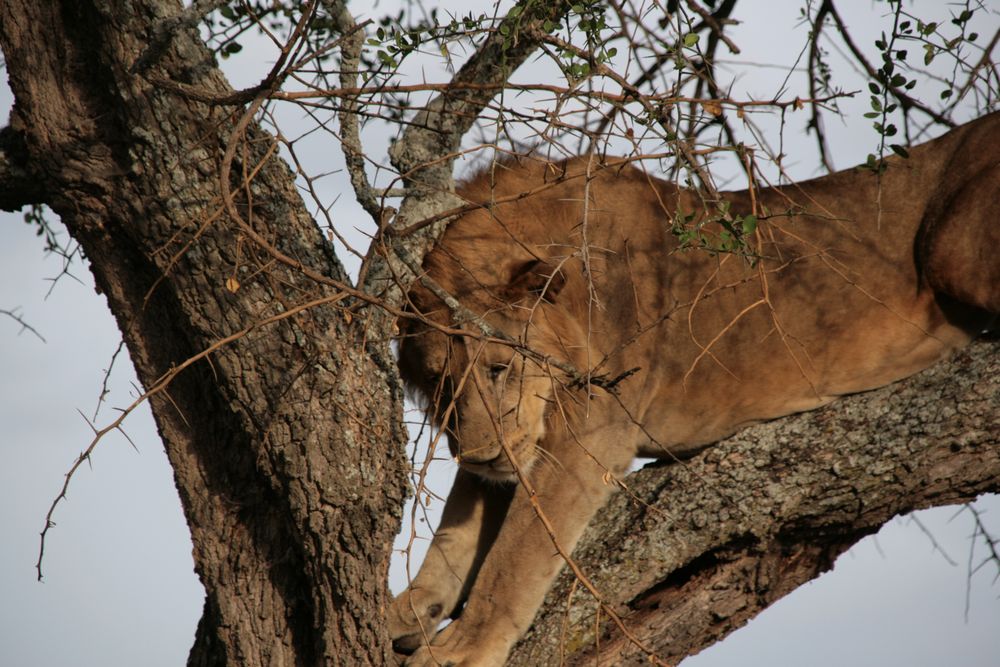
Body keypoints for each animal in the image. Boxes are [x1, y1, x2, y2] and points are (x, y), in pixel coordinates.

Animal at [390, 112, 1000, 664]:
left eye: (498, 368)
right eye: (441, 382)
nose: (481, 455)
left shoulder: (591, 431)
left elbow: (514, 558)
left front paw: (463, 650)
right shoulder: (510, 440)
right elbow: (456, 532)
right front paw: (410, 608)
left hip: (953, 251)